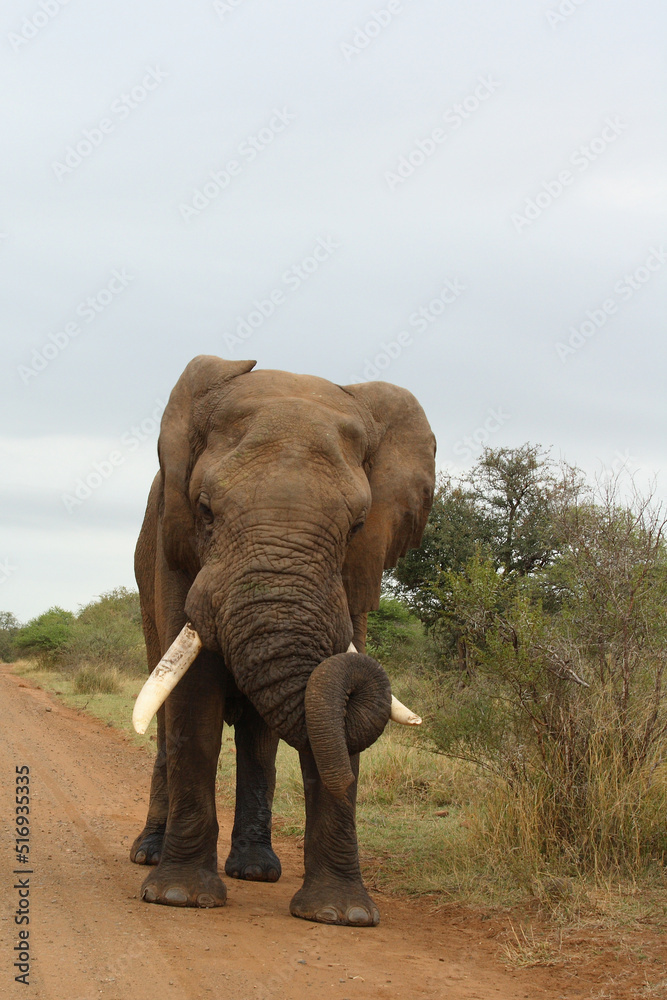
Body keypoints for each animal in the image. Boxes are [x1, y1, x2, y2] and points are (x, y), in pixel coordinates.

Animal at [130, 355, 435, 926]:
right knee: (164, 723)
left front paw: (342, 915)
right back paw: (149, 856)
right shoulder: (174, 552)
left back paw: (255, 870)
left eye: (358, 525)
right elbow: (193, 708)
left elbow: (330, 711)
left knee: (258, 738)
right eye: (205, 510)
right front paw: (179, 898)